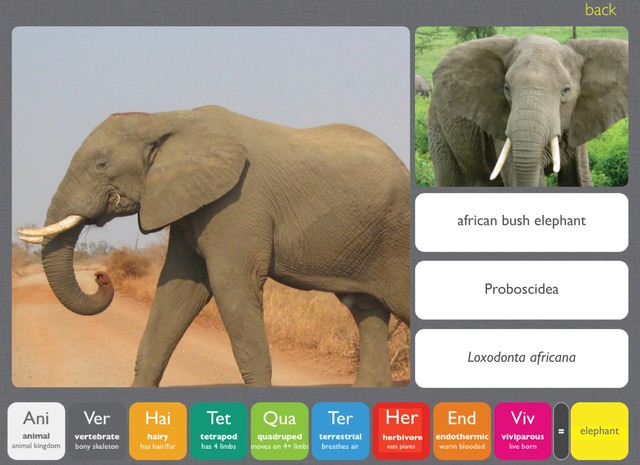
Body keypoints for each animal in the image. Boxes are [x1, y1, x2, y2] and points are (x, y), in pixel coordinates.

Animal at [17, 105, 410, 388]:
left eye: (101, 164)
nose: (100, 276)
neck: (165, 118)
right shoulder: (187, 205)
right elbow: (177, 289)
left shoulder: (238, 203)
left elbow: (230, 285)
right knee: (366, 310)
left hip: (397, 236)